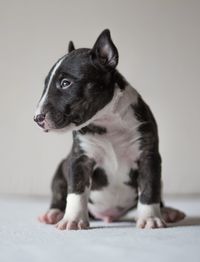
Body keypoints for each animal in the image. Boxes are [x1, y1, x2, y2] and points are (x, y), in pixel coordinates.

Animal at [34, 29, 184, 229]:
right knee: (59, 193)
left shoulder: (148, 157)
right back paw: (53, 213)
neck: (108, 122)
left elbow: (150, 189)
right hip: (60, 171)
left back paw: (168, 212)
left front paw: (150, 218)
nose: (37, 118)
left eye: (65, 83)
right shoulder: (80, 159)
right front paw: (72, 220)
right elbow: (76, 192)